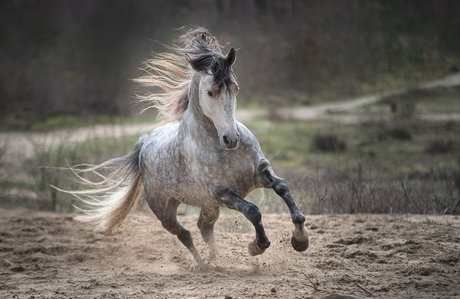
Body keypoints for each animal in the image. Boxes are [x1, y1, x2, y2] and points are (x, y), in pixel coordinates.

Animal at [66, 27, 310, 264]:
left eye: (236, 89)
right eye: (210, 92)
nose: (231, 139)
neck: (222, 150)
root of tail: (145, 143)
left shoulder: (259, 171)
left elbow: (282, 187)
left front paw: (300, 239)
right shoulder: (221, 192)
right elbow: (253, 211)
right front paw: (257, 246)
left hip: (209, 206)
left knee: (204, 228)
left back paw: (215, 260)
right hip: (166, 212)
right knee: (185, 234)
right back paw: (203, 265)